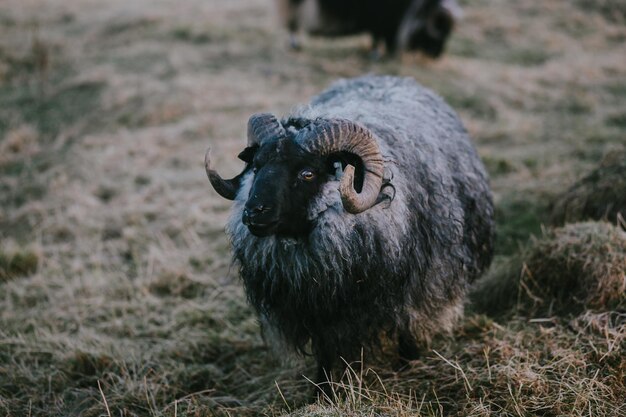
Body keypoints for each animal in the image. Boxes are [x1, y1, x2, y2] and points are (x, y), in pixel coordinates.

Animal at [205, 74, 492, 386]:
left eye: (307, 173)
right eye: (256, 167)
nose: (254, 212)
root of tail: (390, 76)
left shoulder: (411, 286)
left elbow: (408, 328)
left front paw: (409, 366)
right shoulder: (319, 311)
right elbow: (325, 353)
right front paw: (321, 390)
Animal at [276, 0, 460, 57]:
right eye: (441, 30)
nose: (437, 55)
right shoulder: (383, 23)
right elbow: (378, 38)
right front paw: (376, 54)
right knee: (292, 27)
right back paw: (295, 45)